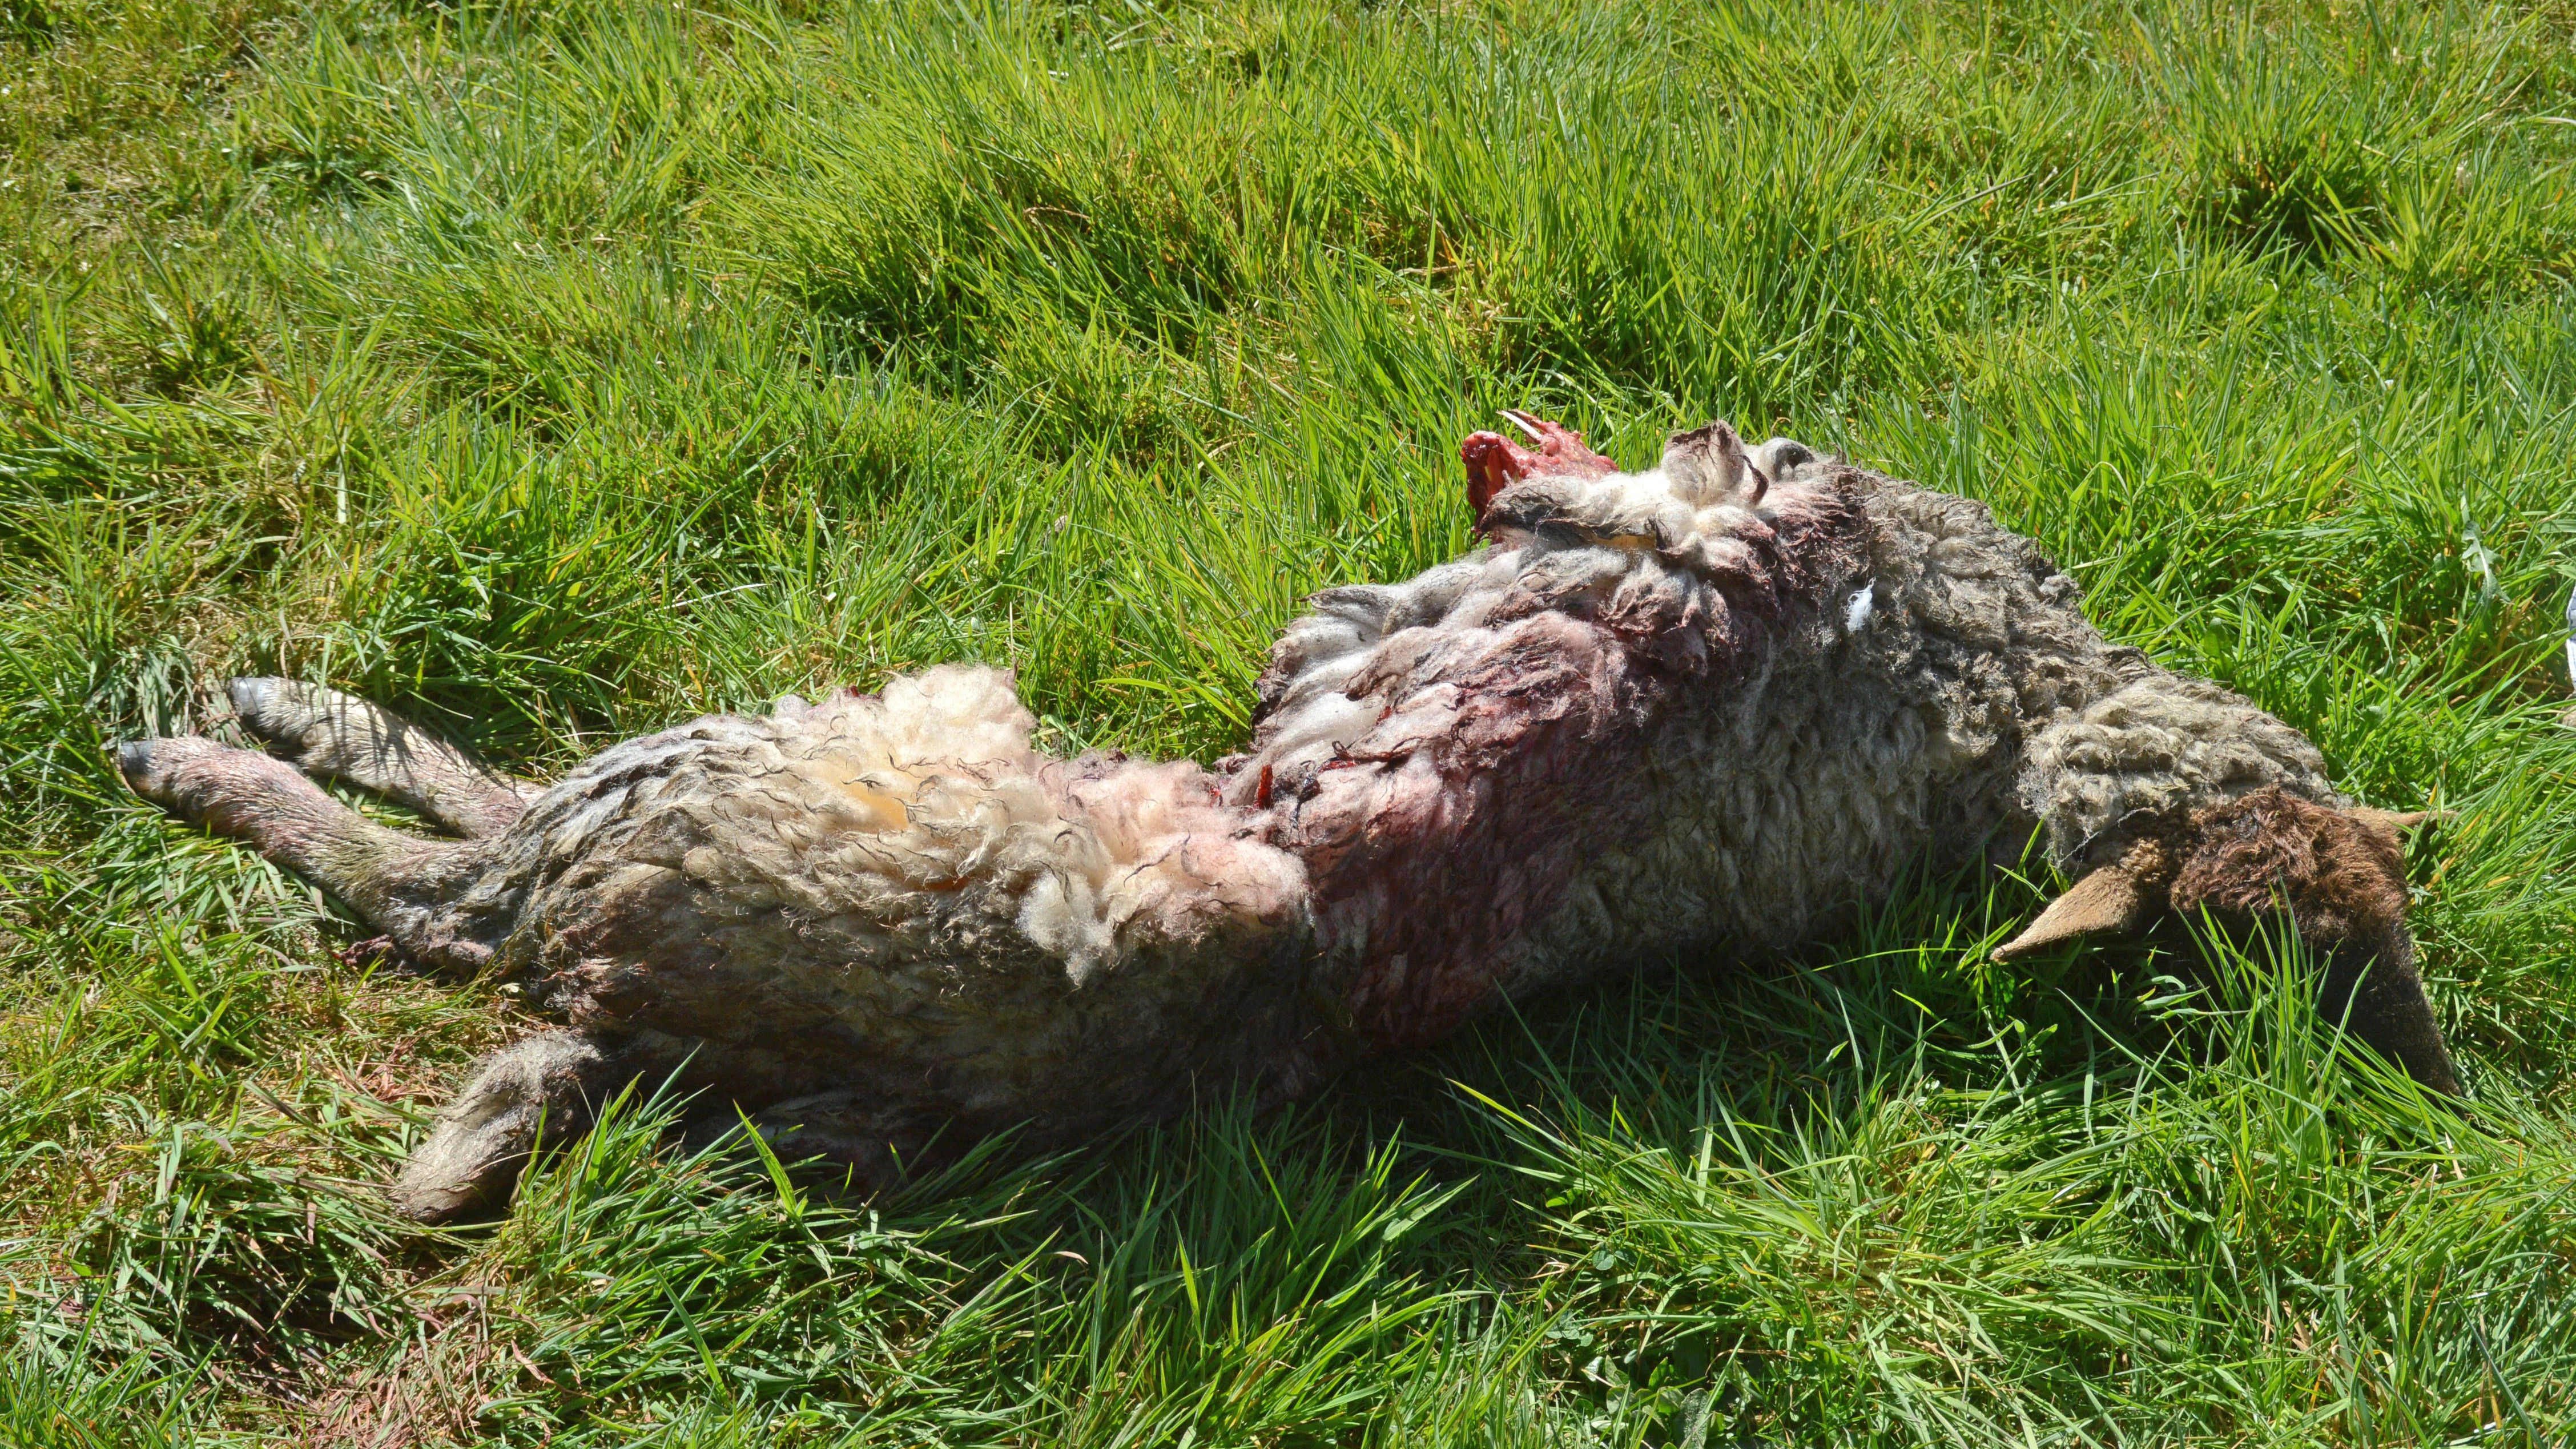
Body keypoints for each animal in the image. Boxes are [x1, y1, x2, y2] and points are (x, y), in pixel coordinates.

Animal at [116, 414, 2460, 1222]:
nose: (2428, 1062)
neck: (2037, 723)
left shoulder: (1761, 550)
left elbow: (1649, 516)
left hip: (771, 776)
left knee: (445, 877)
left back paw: (213, 745)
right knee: (474, 874)